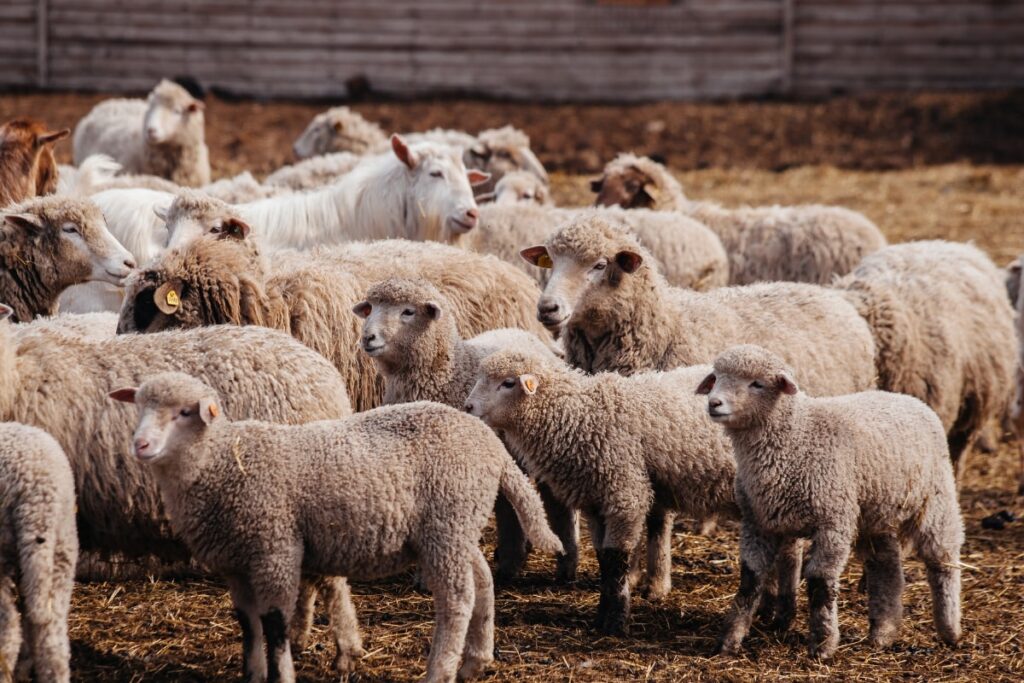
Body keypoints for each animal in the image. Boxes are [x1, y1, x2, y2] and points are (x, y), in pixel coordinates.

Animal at [112, 371, 562, 683]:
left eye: (185, 412)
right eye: (139, 407)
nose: (140, 445)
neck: (222, 460)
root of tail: (490, 443)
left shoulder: (275, 550)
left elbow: (275, 623)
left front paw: (282, 673)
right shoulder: (236, 563)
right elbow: (248, 623)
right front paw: (253, 672)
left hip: (447, 524)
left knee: (456, 600)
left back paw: (441, 670)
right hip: (457, 524)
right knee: (483, 578)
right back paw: (475, 660)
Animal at [465, 347, 740, 635]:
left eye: (508, 383)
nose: (468, 407)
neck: (581, 414)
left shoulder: (625, 495)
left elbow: (616, 559)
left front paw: (616, 622)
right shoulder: (596, 501)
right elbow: (603, 559)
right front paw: (602, 616)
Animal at [700, 345, 963, 659]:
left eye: (757, 384)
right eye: (716, 377)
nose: (714, 403)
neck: (796, 437)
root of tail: (909, 399)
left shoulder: (833, 521)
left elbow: (820, 583)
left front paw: (823, 644)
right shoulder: (757, 523)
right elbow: (750, 579)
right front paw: (729, 639)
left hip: (936, 499)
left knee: (942, 559)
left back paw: (950, 629)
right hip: (874, 510)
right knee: (885, 564)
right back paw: (883, 632)